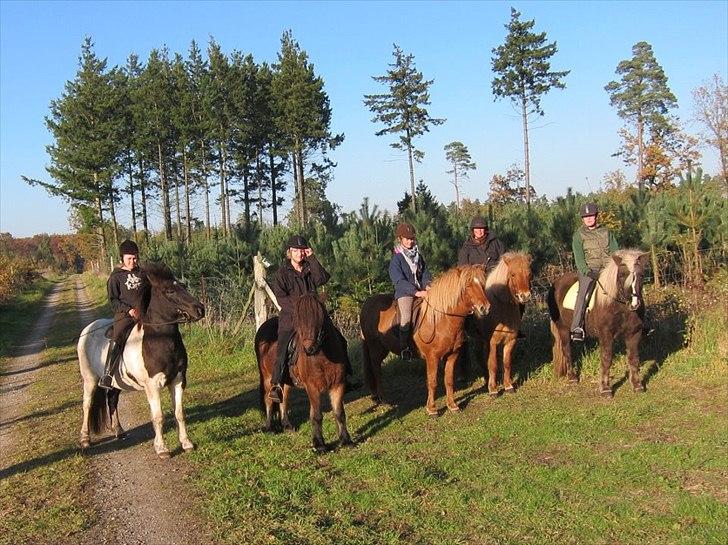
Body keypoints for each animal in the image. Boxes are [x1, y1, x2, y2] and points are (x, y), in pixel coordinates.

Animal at [77, 262, 205, 456]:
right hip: (90, 379)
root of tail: (87, 329)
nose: (200, 310)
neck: (159, 340)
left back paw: (119, 431)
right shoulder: (152, 385)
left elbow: (179, 413)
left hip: (115, 383)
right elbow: (158, 416)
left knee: (112, 400)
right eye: (170, 291)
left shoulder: (178, 380)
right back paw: (85, 440)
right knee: (87, 405)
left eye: (183, 286)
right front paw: (162, 449)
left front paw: (186, 443)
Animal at [256, 294, 352, 450]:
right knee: (269, 400)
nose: (309, 349)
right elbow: (316, 415)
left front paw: (346, 440)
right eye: (298, 320)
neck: (322, 357)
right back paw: (269, 427)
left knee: (284, 400)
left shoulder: (338, 384)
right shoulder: (312, 388)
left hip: (286, 381)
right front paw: (319, 445)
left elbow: (339, 413)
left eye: (319, 317)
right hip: (266, 377)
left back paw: (287, 425)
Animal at [358, 266, 490, 414]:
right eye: (467, 285)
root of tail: (366, 305)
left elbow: (449, 380)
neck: (442, 319)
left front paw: (452, 405)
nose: (485, 308)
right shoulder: (432, 358)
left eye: (482, 283)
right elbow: (432, 382)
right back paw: (384, 399)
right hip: (375, 349)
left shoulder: (452, 356)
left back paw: (376, 397)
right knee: (376, 371)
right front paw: (432, 409)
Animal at [472, 251, 536, 396]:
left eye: (529, 274)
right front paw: (493, 389)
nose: (525, 296)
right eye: (512, 274)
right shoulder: (492, 343)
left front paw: (508, 386)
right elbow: (493, 364)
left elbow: (506, 363)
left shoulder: (510, 340)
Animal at [544, 249, 648, 398]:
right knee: (567, 350)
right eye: (622, 275)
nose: (634, 304)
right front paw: (605, 389)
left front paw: (637, 385)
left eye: (641, 275)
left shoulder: (634, 333)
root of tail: (556, 283)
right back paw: (572, 377)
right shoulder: (606, 335)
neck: (619, 305)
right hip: (563, 329)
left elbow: (633, 358)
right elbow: (606, 359)